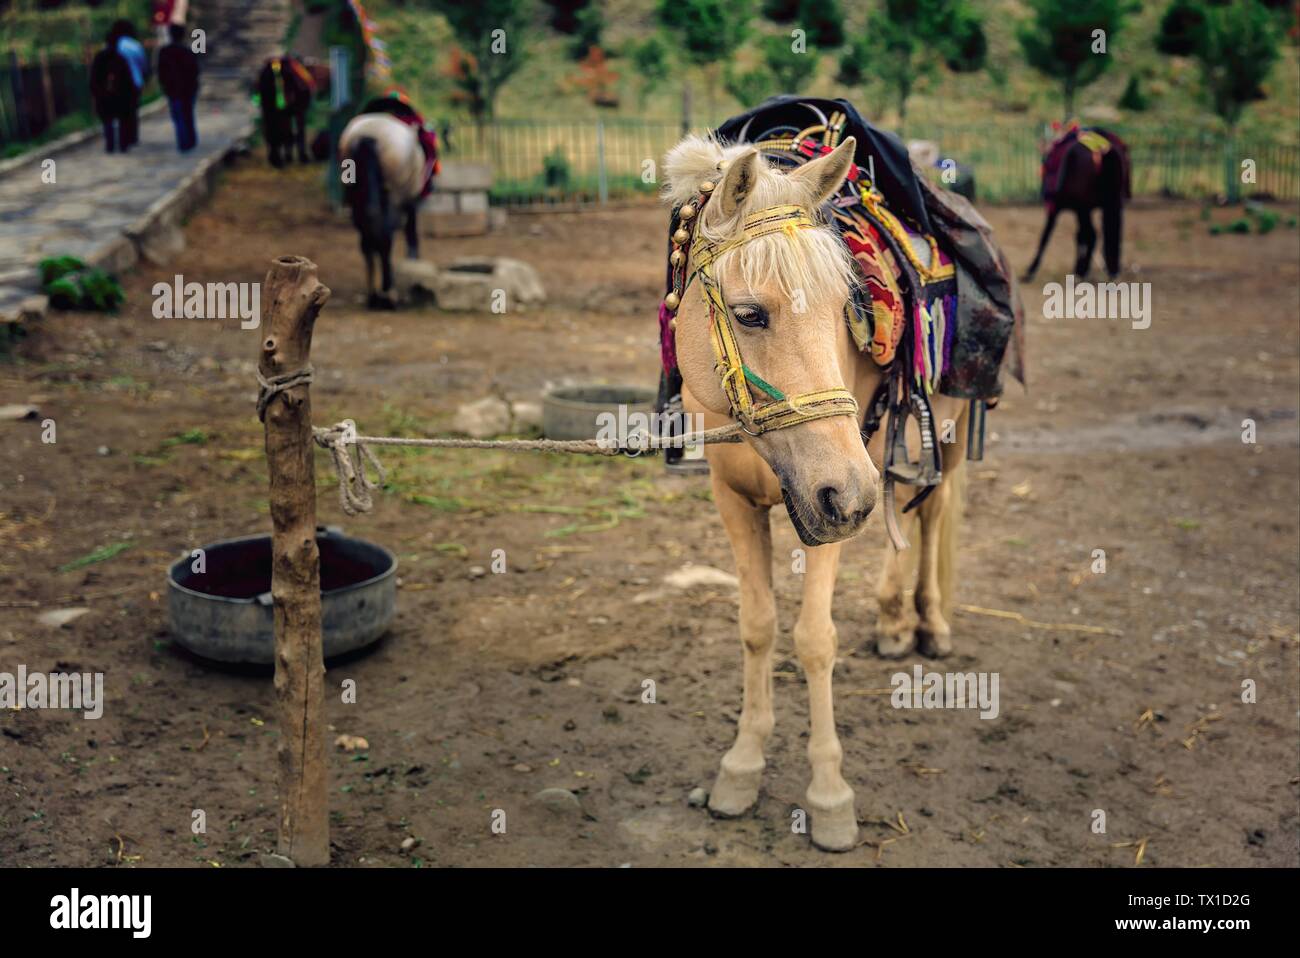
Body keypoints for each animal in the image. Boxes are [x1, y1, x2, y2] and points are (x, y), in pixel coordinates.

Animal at [665, 132, 972, 842]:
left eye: (843, 310)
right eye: (750, 314)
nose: (850, 493)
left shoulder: (830, 510)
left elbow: (814, 639)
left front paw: (830, 795)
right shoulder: (736, 501)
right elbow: (757, 626)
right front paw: (742, 767)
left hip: (943, 433)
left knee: (933, 510)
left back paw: (930, 622)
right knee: (903, 509)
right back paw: (894, 622)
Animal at [1024, 124, 1128, 280]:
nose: (1043, 191)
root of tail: (1101, 148)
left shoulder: (1056, 207)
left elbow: (1046, 235)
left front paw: (1031, 268)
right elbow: (1079, 236)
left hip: (1083, 207)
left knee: (1091, 234)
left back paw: (1082, 271)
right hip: (1112, 202)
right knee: (1112, 234)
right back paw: (1109, 270)